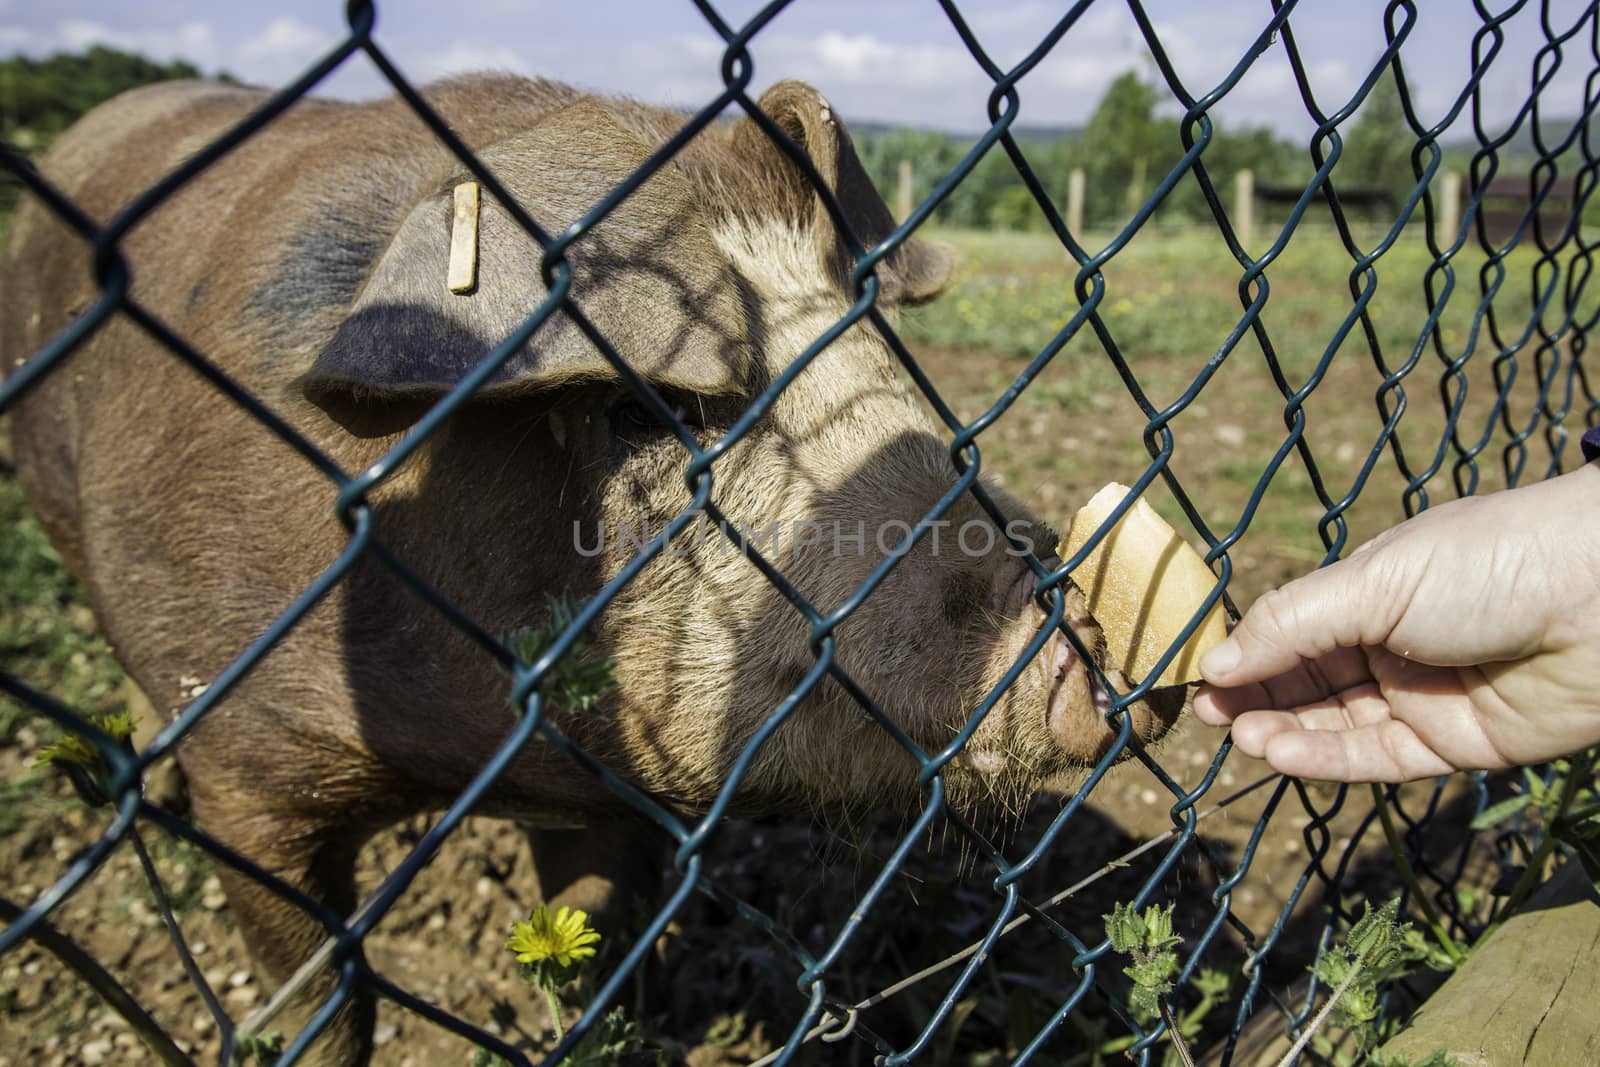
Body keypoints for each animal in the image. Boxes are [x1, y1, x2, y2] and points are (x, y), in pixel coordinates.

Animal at [3, 73, 1190, 1062]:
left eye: (883, 359)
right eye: (654, 409)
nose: (1085, 630)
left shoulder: (606, 797)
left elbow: (595, 934)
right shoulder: (249, 775)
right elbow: (322, 1006)